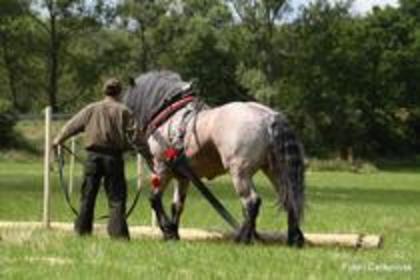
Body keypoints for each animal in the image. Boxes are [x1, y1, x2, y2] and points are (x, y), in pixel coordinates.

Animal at [124, 71, 306, 246]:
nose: (130, 136)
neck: (170, 119)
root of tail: (268, 117)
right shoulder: (183, 177)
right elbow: (177, 206)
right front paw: (174, 233)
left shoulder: (163, 168)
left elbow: (154, 199)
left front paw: (168, 230)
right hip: (274, 170)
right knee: (289, 199)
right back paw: (293, 238)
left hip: (239, 172)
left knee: (251, 202)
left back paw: (242, 239)